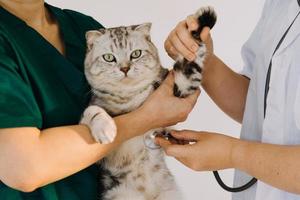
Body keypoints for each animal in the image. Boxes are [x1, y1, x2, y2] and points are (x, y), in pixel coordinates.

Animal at [79, 6, 216, 200]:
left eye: (136, 54)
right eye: (109, 58)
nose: (125, 68)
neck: (129, 97)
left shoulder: (182, 87)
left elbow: (190, 58)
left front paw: (203, 19)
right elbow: (92, 111)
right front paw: (106, 129)